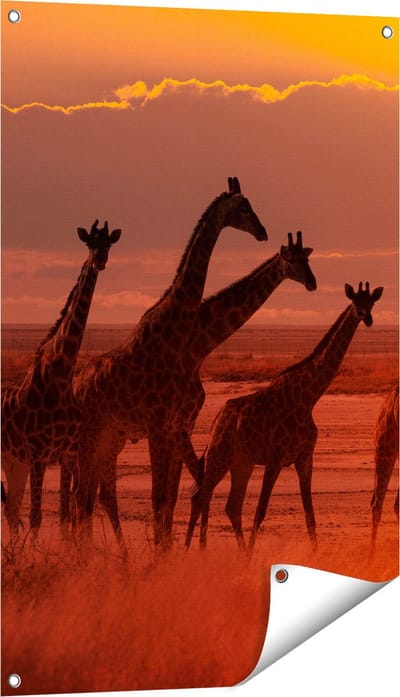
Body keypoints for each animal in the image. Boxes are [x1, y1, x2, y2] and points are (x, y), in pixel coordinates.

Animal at [1, 220, 121, 544]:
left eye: (108, 243)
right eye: (89, 243)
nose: (99, 260)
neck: (61, 375)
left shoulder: (66, 455)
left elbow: (66, 517)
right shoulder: (38, 455)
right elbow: (37, 517)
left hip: (14, 463)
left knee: (11, 510)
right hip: (14, 459)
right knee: (14, 511)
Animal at [72, 178, 267, 551]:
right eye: (243, 206)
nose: (263, 232)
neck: (176, 330)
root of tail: (76, 385)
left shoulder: (174, 426)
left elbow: (169, 498)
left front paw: (167, 553)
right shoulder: (159, 426)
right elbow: (160, 497)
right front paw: (161, 555)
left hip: (107, 435)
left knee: (87, 494)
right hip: (90, 434)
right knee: (82, 494)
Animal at [185, 282, 383, 550]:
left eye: (371, 302)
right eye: (355, 301)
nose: (367, 317)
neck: (308, 398)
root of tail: (217, 420)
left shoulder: (304, 458)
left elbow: (310, 515)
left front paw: (314, 554)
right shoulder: (275, 458)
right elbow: (260, 511)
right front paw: (251, 554)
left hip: (242, 463)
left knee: (230, 505)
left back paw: (232, 552)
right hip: (220, 456)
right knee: (200, 496)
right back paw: (191, 550)